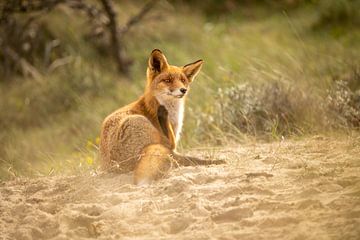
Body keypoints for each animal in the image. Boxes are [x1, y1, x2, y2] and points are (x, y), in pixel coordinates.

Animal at [100, 48, 225, 184]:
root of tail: (114, 167)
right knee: (171, 147)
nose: (183, 90)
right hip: (140, 122)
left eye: (183, 80)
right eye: (168, 80)